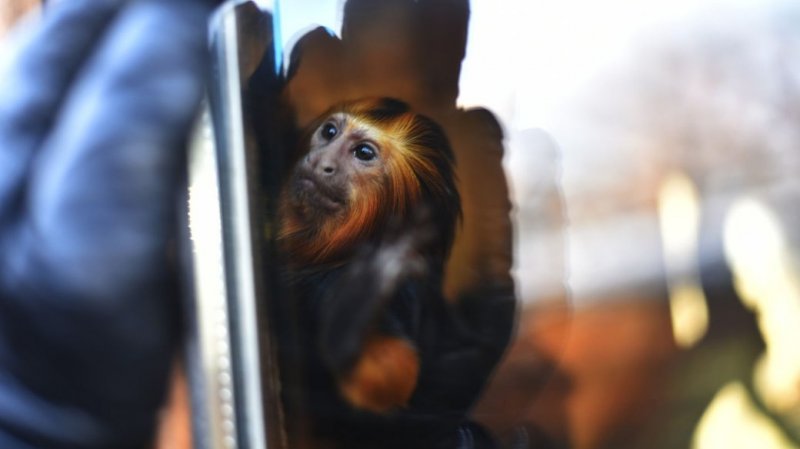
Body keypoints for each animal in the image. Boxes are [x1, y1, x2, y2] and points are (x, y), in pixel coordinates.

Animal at [274, 98, 512, 449]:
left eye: (363, 153)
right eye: (329, 132)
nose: (322, 162)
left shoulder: (397, 292)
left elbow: (388, 378)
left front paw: (366, 285)